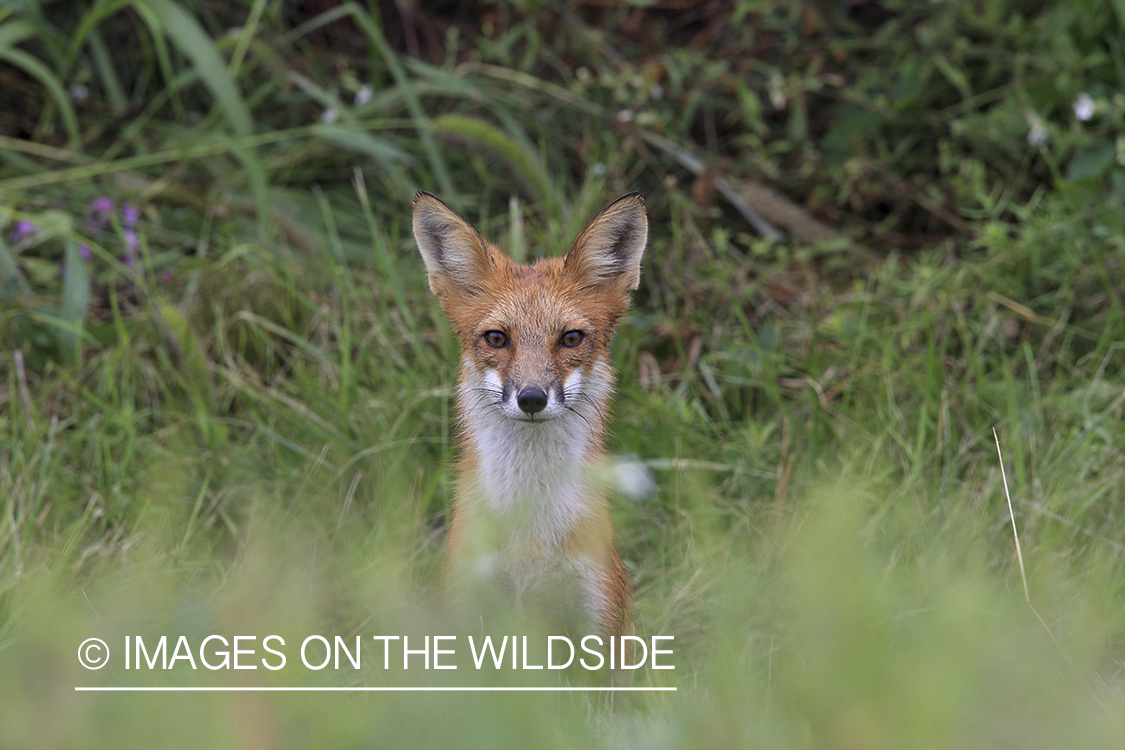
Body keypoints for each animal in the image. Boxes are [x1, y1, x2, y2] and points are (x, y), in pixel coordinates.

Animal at [412, 191, 647, 643]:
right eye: (496, 338)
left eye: (571, 338)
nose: (533, 398)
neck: (530, 539)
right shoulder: (461, 609)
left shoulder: (601, 620)